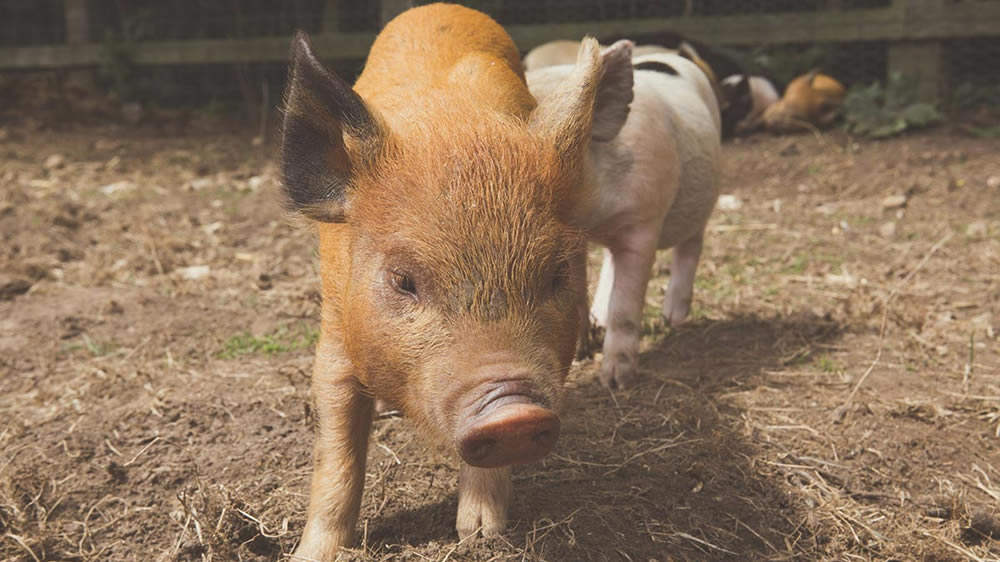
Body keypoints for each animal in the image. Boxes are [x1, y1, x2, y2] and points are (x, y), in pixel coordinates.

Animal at [278, 3, 628, 556]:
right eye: (403, 279)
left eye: (558, 271)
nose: (513, 411)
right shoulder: (333, 338)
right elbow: (336, 454)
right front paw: (313, 555)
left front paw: (480, 536)